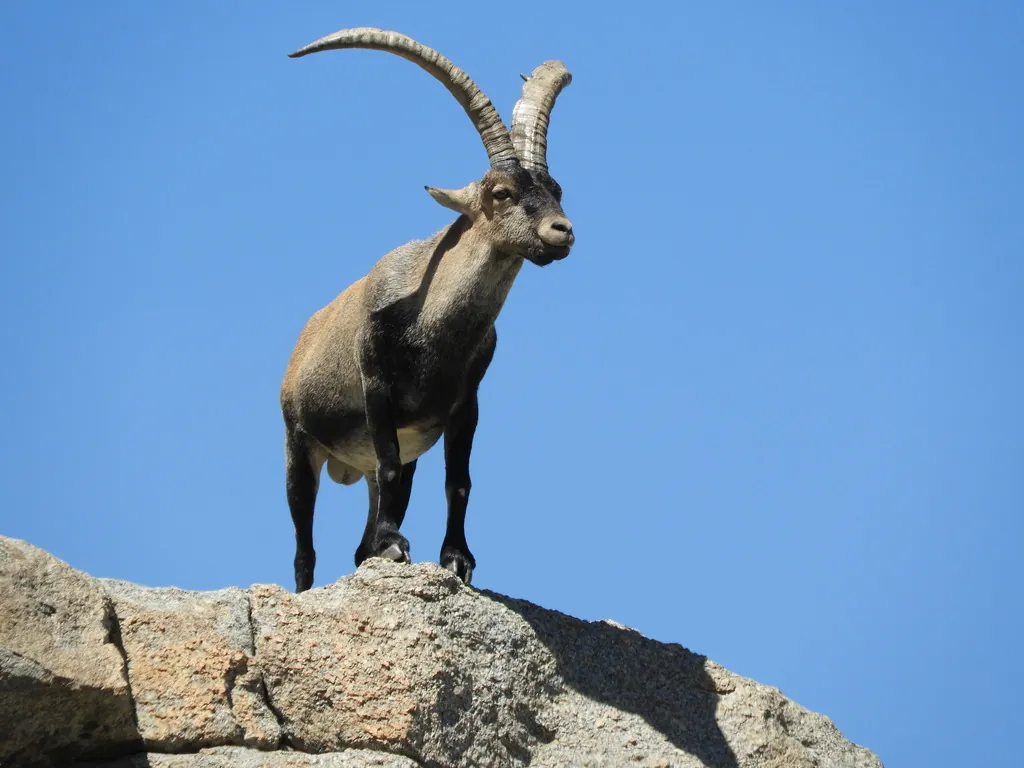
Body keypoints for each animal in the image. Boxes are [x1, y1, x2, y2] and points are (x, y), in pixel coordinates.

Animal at [280, 28, 574, 591]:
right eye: (501, 193)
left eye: (556, 190)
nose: (562, 231)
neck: (430, 329)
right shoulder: (376, 387)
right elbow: (393, 468)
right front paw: (396, 545)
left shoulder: (463, 405)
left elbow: (458, 481)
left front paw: (457, 557)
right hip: (298, 444)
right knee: (304, 546)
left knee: (366, 524)